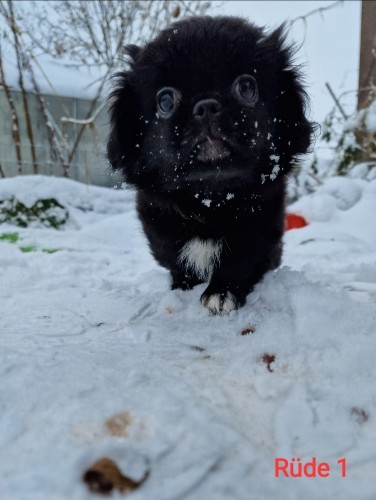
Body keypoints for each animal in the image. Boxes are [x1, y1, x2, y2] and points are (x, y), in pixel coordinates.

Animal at [107, 16, 312, 312]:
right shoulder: (159, 225)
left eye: (247, 87)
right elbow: (178, 262)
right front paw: (183, 287)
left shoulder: (259, 226)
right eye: (165, 101)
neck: (210, 200)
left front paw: (222, 293)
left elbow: (239, 261)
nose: (206, 106)